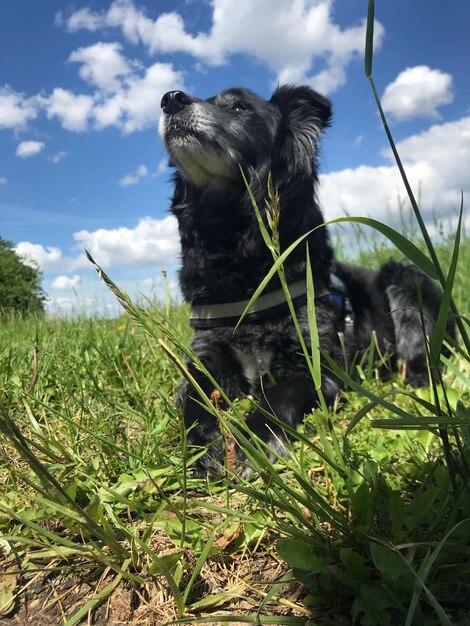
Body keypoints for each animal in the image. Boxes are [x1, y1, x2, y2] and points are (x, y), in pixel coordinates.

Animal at [160, 84, 450, 472]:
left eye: (239, 107)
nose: (170, 98)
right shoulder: (206, 357)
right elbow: (194, 400)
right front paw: (199, 445)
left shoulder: (315, 365)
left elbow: (276, 398)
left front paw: (251, 442)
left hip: (406, 277)